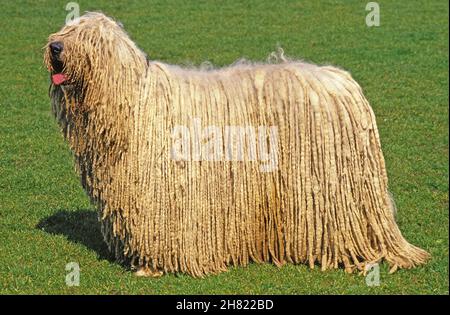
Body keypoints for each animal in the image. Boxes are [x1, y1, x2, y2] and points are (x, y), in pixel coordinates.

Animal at [44, 11, 428, 278]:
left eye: (87, 37)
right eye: (66, 29)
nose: (55, 46)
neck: (133, 104)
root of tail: (344, 83)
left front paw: (152, 268)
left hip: (335, 190)